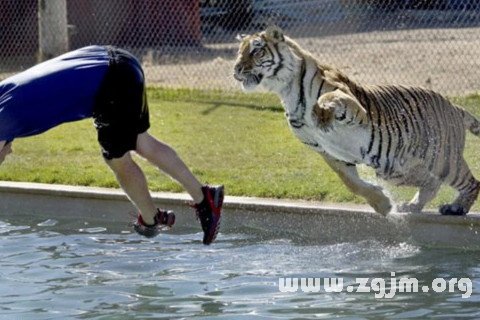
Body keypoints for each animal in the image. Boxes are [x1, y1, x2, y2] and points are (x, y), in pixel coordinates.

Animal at [233, 25, 480, 215]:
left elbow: (328, 97)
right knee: (431, 182)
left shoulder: (349, 100)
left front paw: (322, 115)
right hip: (396, 169)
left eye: (256, 51)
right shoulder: (326, 151)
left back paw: (456, 208)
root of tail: (455, 106)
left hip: (443, 159)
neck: (286, 90)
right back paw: (411, 207)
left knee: (470, 182)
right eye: (239, 52)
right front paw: (383, 205)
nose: (236, 68)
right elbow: (351, 183)